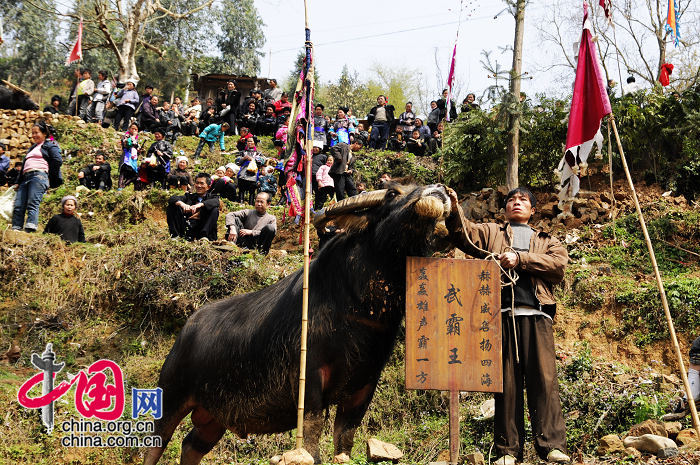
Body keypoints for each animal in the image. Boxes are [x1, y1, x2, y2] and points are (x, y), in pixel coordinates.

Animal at [145, 183, 454, 462]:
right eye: (392, 193)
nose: (439, 190)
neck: (361, 311)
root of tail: (186, 329)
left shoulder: (364, 385)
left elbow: (345, 439)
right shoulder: (310, 376)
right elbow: (313, 431)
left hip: (213, 418)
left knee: (191, 445)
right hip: (171, 396)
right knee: (156, 443)